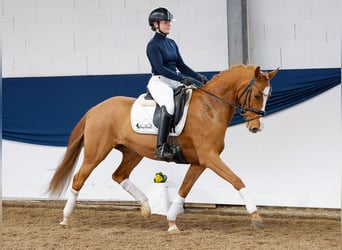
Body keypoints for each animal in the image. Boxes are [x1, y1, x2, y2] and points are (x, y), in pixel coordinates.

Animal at [47, 64, 278, 232]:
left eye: (268, 96)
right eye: (257, 95)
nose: (256, 127)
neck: (210, 108)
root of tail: (95, 108)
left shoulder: (200, 162)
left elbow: (184, 189)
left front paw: (172, 222)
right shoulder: (209, 157)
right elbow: (237, 180)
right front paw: (256, 216)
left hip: (133, 153)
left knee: (119, 175)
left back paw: (146, 207)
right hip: (96, 152)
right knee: (79, 178)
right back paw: (65, 219)